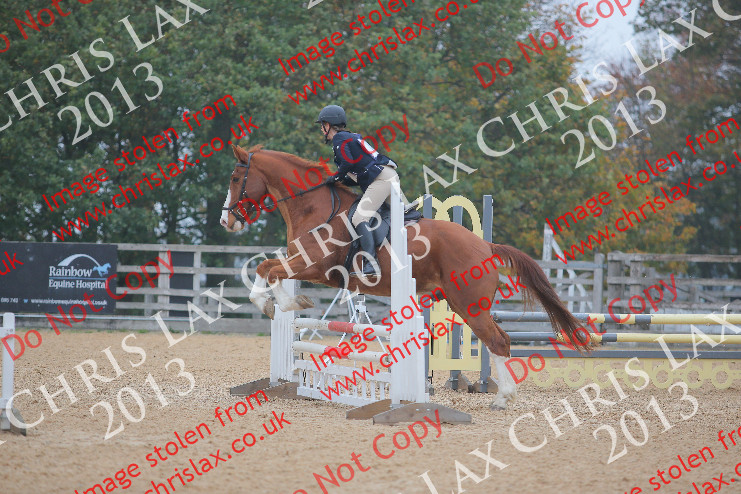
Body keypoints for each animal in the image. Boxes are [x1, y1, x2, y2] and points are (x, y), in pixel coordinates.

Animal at [220, 144, 590, 410]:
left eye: (236, 179)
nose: (227, 221)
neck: (313, 206)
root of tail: (484, 245)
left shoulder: (317, 267)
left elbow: (269, 270)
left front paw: (280, 303)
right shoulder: (302, 263)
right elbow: (268, 268)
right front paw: (285, 302)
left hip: (468, 304)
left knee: (498, 340)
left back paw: (502, 399)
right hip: (464, 304)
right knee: (500, 339)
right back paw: (504, 396)